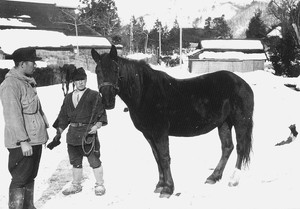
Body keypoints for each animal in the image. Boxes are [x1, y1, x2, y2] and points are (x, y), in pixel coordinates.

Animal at [91, 45, 253, 198]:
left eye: (115, 70)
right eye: (97, 71)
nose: (107, 101)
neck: (144, 93)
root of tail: (243, 83)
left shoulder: (160, 132)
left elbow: (164, 158)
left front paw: (168, 189)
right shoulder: (149, 134)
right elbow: (157, 158)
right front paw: (160, 185)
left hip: (240, 121)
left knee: (240, 148)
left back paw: (233, 180)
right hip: (223, 123)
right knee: (227, 147)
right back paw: (214, 177)